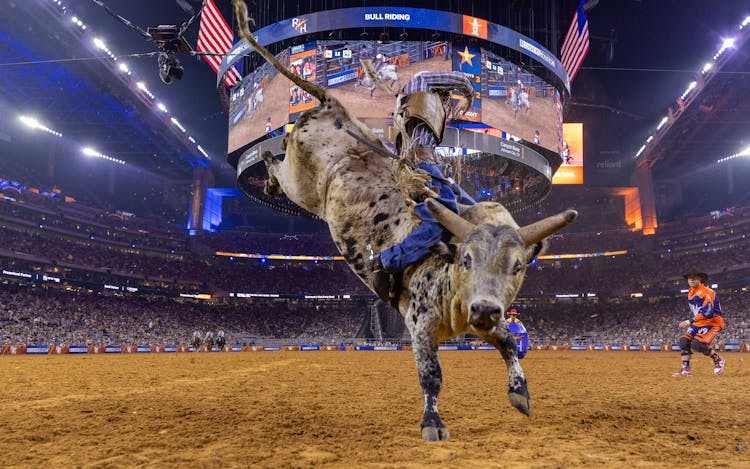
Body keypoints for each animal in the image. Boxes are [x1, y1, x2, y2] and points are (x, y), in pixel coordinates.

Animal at [232, 0, 576, 441]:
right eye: (466, 259)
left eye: (518, 266)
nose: (483, 309)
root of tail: (334, 105)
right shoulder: (420, 324)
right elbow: (432, 376)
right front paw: (432, 423)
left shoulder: (493, 318)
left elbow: (509, 344)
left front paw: (520, 391)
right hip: (301, 181)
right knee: (277, 164)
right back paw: (268, 168)